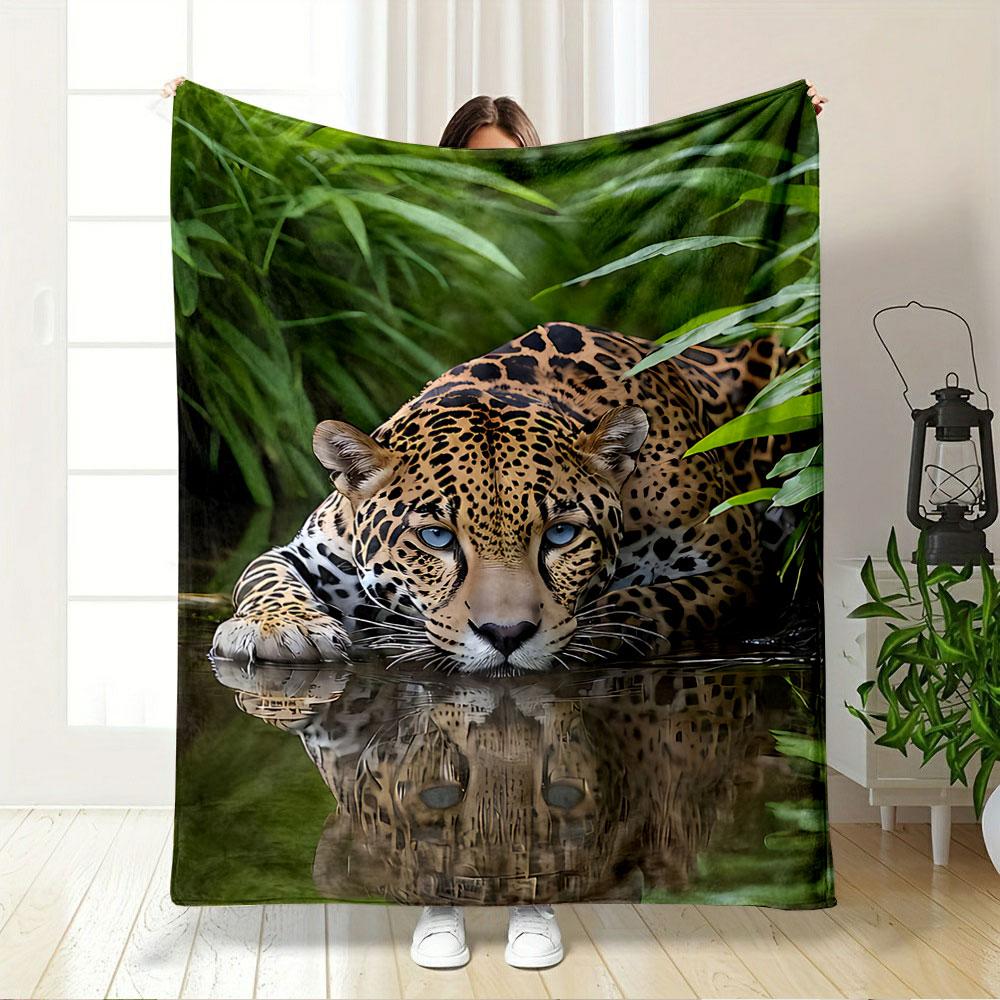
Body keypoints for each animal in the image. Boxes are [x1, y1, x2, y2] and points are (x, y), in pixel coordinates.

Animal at [211, 321, 786, 674]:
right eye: (436, 537)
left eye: (561, 534)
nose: (506, 635)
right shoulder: (314, 550)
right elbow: (264, 574)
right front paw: (284, 629)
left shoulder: (739, 567)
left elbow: (655, 598)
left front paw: (600, 630)